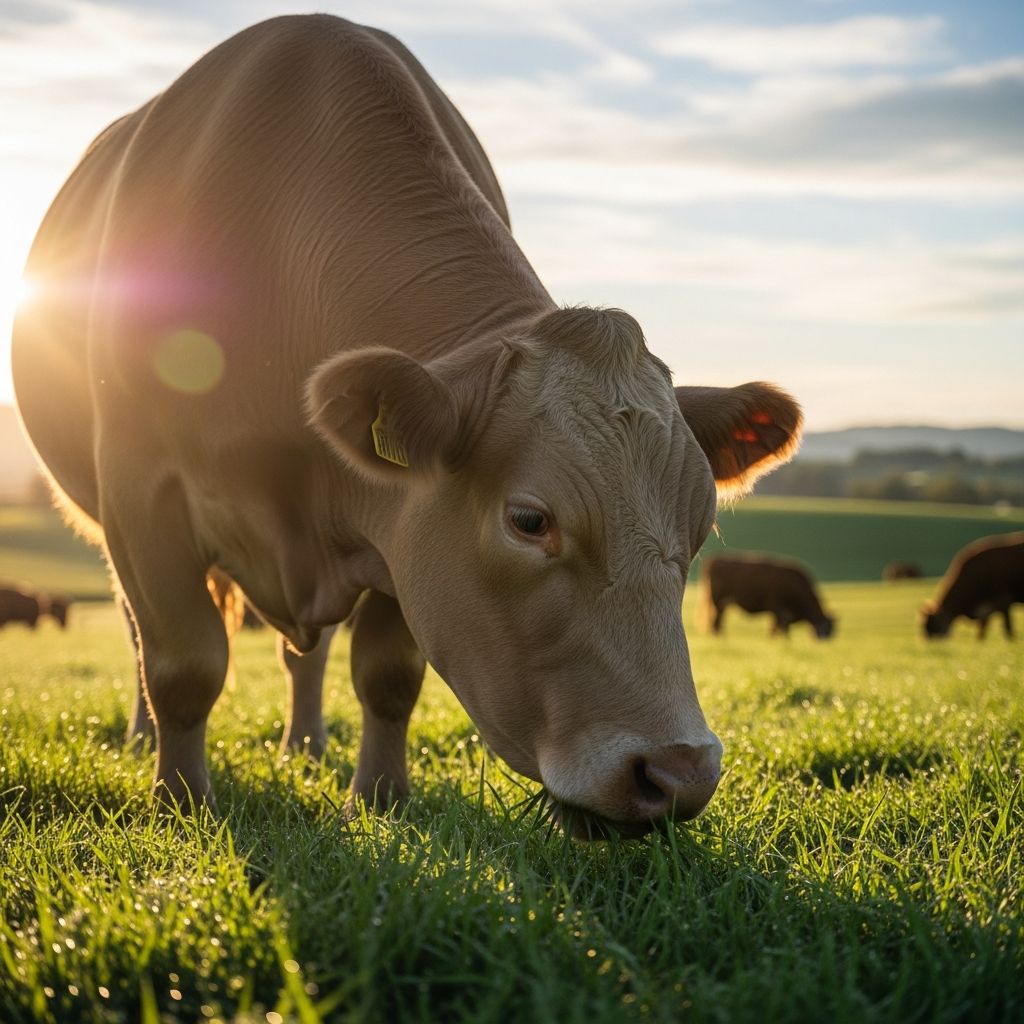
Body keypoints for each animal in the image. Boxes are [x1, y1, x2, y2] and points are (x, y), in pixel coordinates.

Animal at [12, 15, 801, 837]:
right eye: (529, 520)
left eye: (702, 525)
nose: (679, 771)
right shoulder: (141, 493)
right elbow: (182, 663)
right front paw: (183, 805)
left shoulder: (395, 526)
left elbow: (386, 674)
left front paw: (379, 798)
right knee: (142, 638)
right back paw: (146, 740)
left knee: (307, 655)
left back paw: (305, 746)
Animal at [702, 554, 835, 639]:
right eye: (827, 630)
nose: (824, 643)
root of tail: (715, 559)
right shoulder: (778, 608)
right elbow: (781, 628)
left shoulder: (778, 612)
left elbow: (776, 627)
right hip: (718, 602)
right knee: (716, 621)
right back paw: (720, 637)